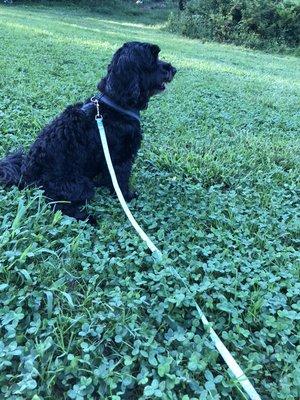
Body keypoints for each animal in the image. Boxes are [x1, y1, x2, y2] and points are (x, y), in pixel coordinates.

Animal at [0, 42, 176, 223]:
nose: (174, 69)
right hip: (78, 184)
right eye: (153, 58)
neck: (116, 103)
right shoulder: (121, 158)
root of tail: (27, 174)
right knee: (57, 203)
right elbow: (120, 181)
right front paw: (127, 196)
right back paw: (88, 218)